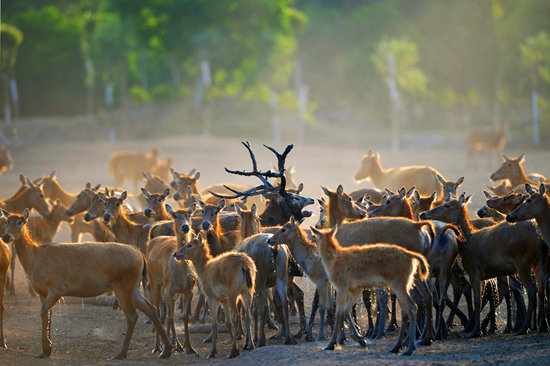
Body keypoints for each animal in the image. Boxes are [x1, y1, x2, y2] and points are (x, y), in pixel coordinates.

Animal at [0, 207, 172, 358]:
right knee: (151, 308)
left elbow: (43, 311)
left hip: (123, 284)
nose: (6, 237)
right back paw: (166, 350)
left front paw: (47, 348)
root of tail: (140, 256)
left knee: (132, 315)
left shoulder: (57, 287)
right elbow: (48, 315)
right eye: (6, 221)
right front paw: (45, 351)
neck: (35, 261)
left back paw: (121, 354)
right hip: (134, 286)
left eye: (20, 222)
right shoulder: (42, 291)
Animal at [147, 204, 198, 354]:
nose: (185, 226)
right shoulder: (169, 287)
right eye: (175, 215)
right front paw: (165, 348)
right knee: (158, 311)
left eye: (189, 214)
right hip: (154, 280)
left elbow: (184, 317)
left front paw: (189, 347)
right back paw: (158, 346)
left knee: (171, 312)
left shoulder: (189, 289)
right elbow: (168, 316)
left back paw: (176, 344)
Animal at [310, 224, 432, 356]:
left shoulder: (342, 286)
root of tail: (411, 256)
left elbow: (339, 313)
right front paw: (360, 339)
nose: (315, 251)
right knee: (406, 310)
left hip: (398, 284)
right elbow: (347, 310)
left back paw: (409, 348)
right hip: (405, 284)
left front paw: (331, 344)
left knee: (412, 306)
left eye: (315, 238)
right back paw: (397, 347)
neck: (332, 261)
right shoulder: (355, 289)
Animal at [420, 194, 548, 338]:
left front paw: (476, 331)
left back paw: (524, 327)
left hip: (523, 264)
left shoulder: (474, 271)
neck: (465, 241)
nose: (423, 214)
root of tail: (539, 237)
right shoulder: (483, 275)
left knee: (530, 289)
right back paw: (541, 325)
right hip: (537, 263)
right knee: (539, 288)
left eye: (447, 205)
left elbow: (477, 300)